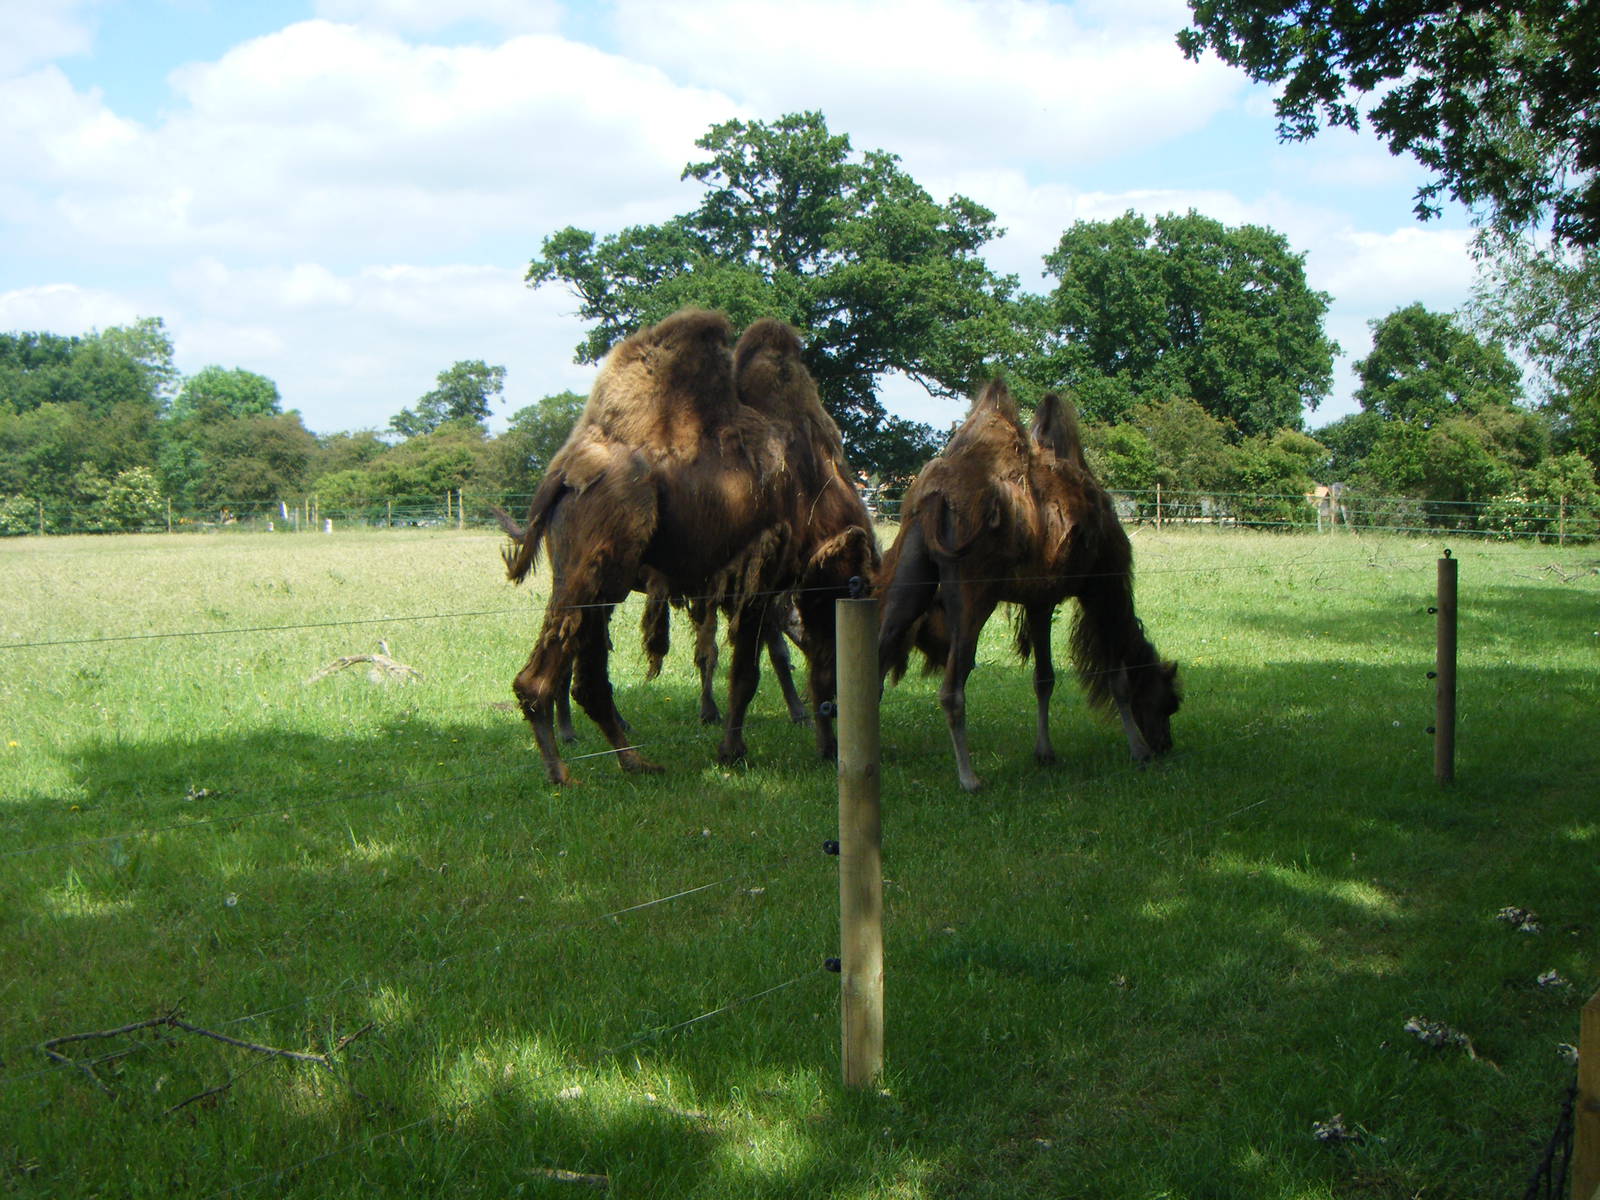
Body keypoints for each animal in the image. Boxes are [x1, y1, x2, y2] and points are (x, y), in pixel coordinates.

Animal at [501, 308, 876, 784]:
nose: (853, 705)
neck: (817, 490)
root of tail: (561, 474)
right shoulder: (762, 576)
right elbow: (748, 672)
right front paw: (733, 751)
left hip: (598, 581)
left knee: (586, 679)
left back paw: (633, 761)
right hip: (602, 560)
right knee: (544, 678)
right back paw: (562, 773)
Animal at [877, 380, 1180, 792]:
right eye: (1169, 703)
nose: (1165, 744)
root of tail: (935, 497)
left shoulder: (1040, 599)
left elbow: (1044, 677)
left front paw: (1045, 753)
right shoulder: (1102, 588)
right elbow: (1116, 677)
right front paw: (1138, 751)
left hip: (912, 574)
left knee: (878, 656)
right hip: (974, 592)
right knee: (952, 685)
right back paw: (969, 777)